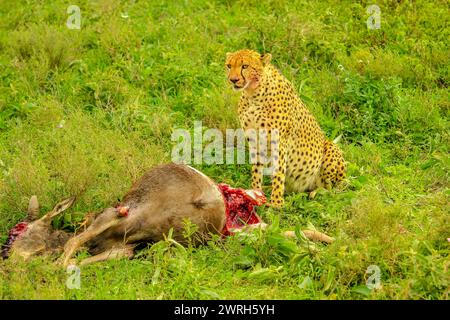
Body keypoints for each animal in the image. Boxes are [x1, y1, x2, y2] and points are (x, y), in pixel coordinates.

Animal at [227, 48, 346, 208]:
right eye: (229, 66)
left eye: (245, 66)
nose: (233, 80)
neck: (253, 94)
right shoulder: (254, 139)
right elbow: (257, 169)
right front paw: (256, 193)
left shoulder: (279, 141)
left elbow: (278, 172)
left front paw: (276, 203)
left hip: (330, 149)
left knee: (333, 188)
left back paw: (316, 192)